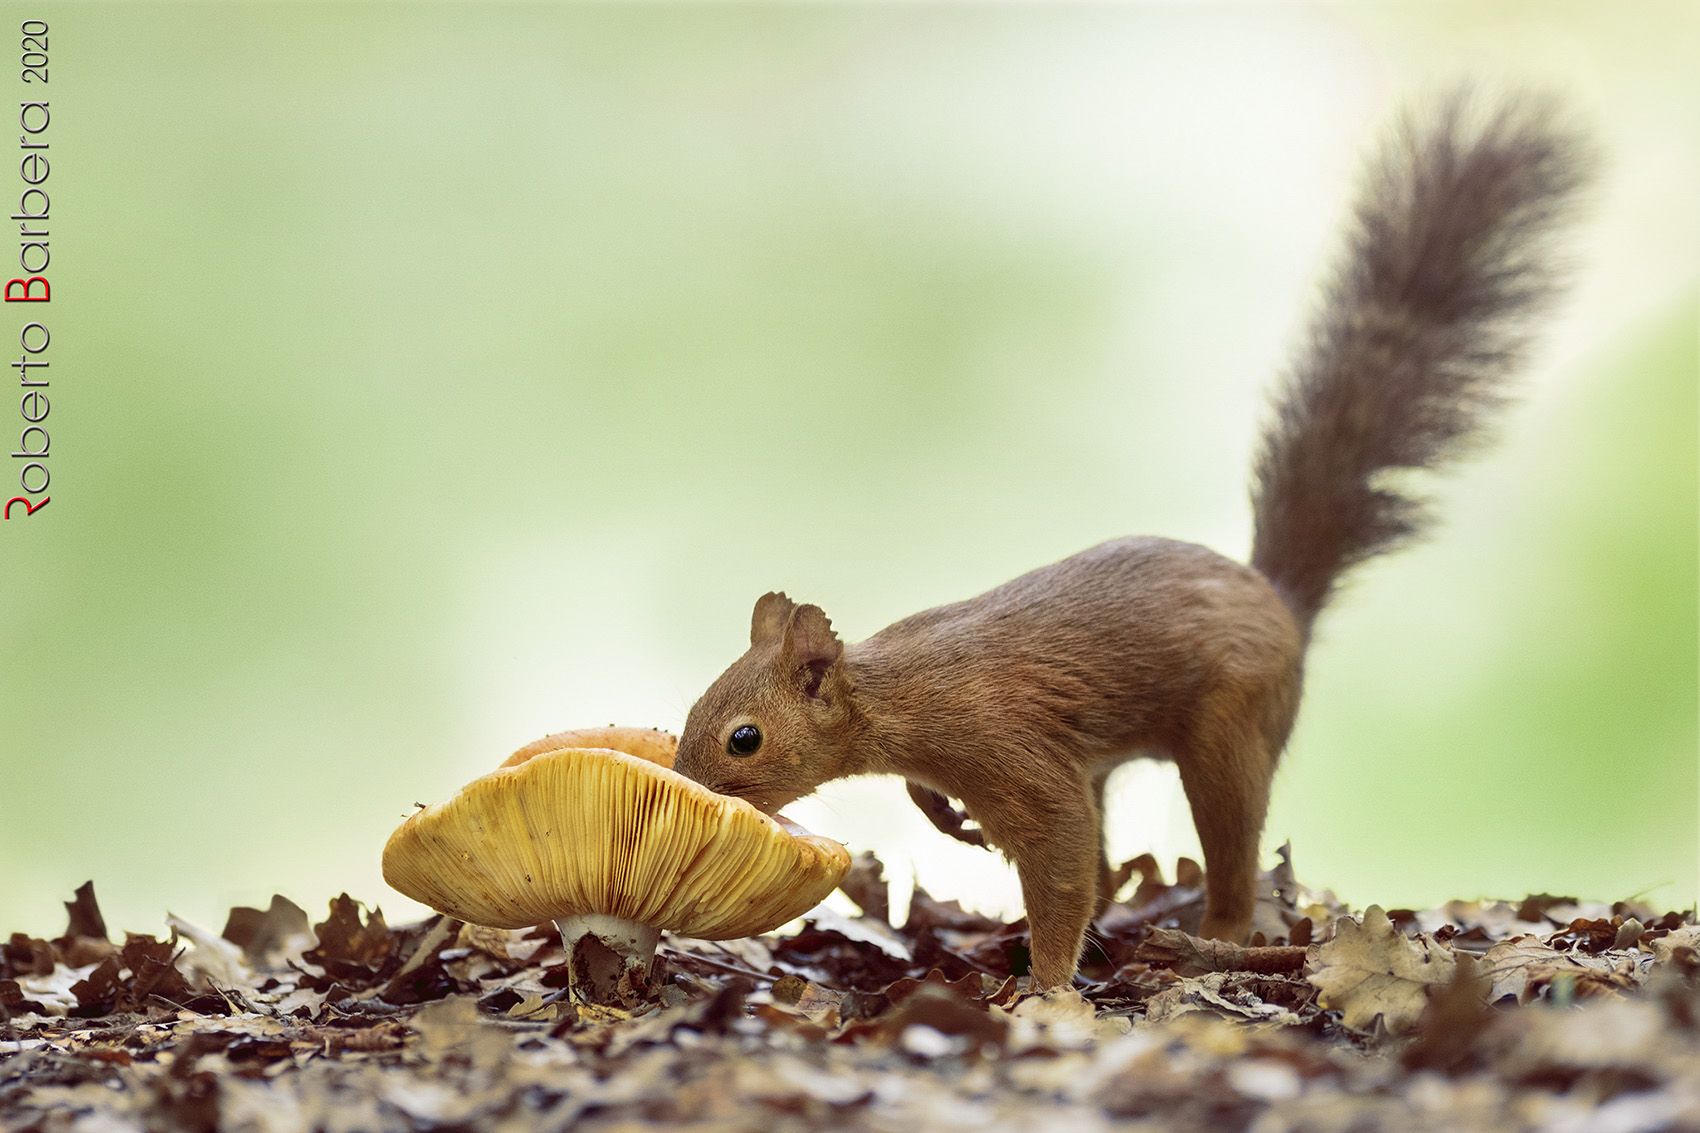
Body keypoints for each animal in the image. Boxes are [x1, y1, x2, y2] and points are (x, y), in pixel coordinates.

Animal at [672, 94, 1587, 989]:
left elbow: (1061, 851)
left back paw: (1209, 938)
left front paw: (1043, 984)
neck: (891, 694)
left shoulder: (1002, 745)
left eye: (744, 736)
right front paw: (949, 821)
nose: (688, 783)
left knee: (1222, 849)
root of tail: (1282, 603)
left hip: (1231, 729)